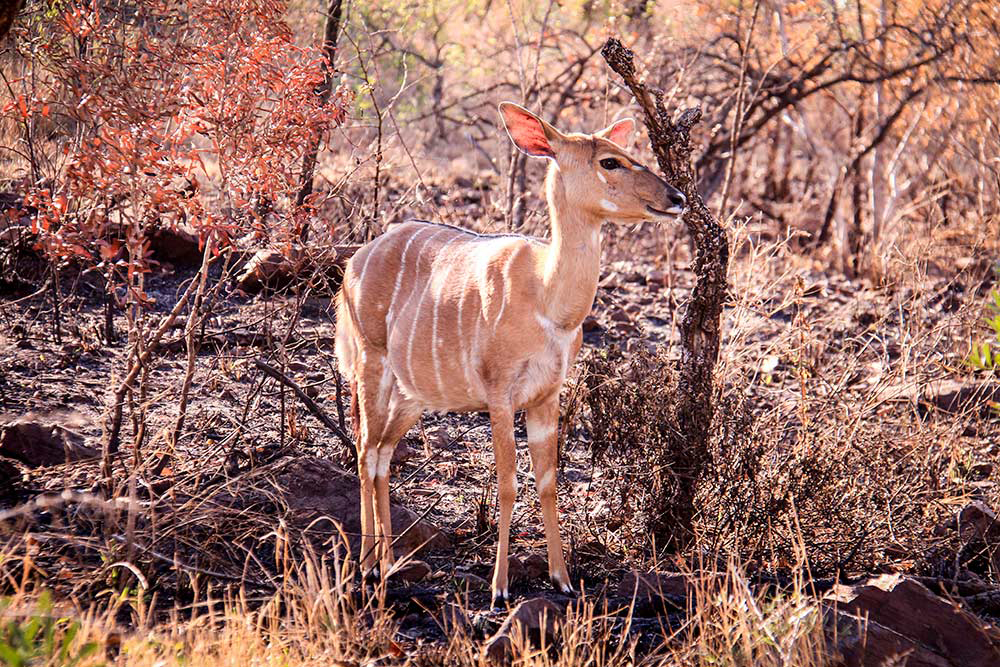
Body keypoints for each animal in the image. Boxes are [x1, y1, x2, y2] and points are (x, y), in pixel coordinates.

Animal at [336, 100, 688, 604]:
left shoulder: (547, 396)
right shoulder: (500, 393)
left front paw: (563, 579)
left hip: (412, 394)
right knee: (366, 449)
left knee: (382, 452)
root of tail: (352, 264)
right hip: (371, 362)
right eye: (610, 161)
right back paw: (367, 567)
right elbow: (506, 482)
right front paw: (500, 588)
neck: (549, 300)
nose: (676, 198)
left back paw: (385, 564)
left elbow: (548, 482)